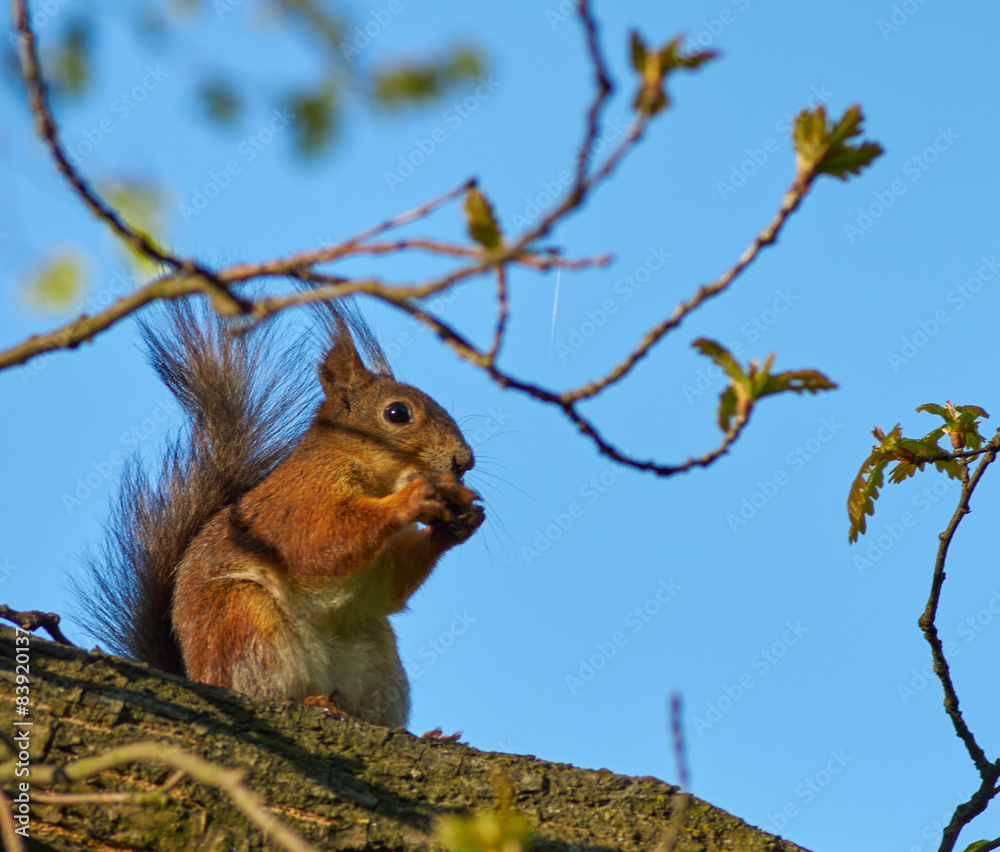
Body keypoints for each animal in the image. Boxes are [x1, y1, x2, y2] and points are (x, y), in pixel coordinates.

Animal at [76, 298, 484, 728]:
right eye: (397, 414)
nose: (463, 462)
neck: (372, 480)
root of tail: (194, 674)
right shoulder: (296, 506)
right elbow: (319, 544)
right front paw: (418, 496)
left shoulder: (378, 570)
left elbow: (387, 585)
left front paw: (457, 526)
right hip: (242, 621)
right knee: (264, 688)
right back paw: (310, 701)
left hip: (376, 657)